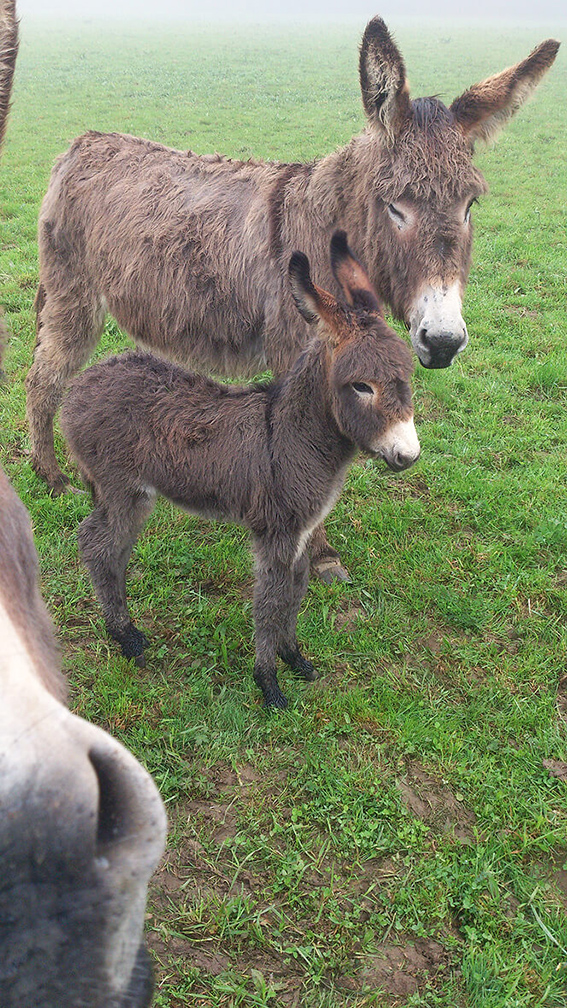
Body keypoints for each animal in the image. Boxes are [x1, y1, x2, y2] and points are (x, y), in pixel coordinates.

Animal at [60, 234, 419, 709]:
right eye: (361, 386)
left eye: (408, 377)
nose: (408, 455)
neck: (291, 436)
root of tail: (79, 386)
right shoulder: (274, 534)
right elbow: (269, 602)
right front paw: (269, 685)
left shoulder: (302, 533)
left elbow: (294, 593)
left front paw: (294, 658)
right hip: (120, 486)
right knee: (96, 545)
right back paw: (126, 637)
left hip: (134, 493)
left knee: (113, 547)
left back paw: (124, 628)